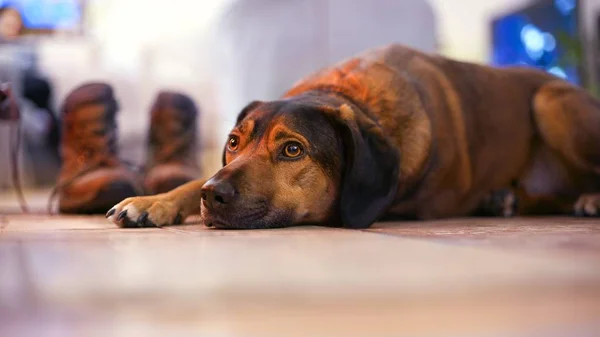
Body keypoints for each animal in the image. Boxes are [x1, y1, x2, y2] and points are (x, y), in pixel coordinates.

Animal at [105, 44, 596, 228]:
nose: (214, 196)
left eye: (293, 150)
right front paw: (153, 201)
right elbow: (191, 180)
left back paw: (587, 199)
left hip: (550, 103)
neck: (347, 95)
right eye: (232, 142)